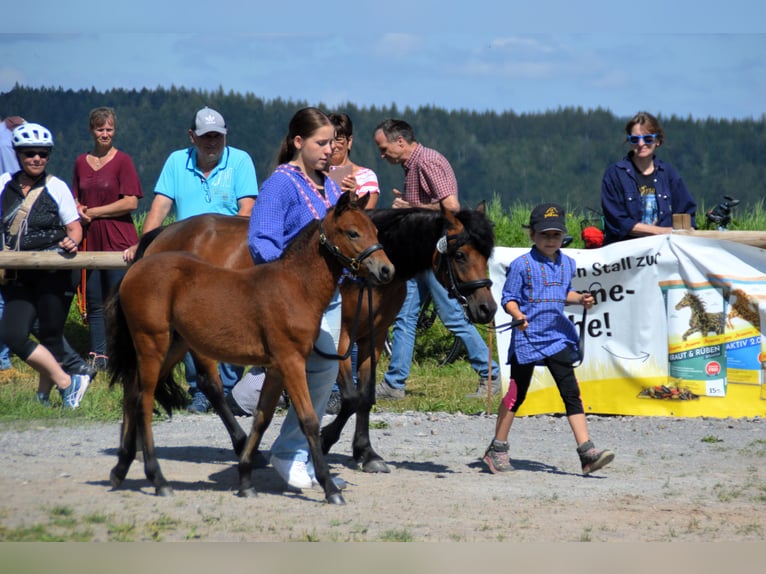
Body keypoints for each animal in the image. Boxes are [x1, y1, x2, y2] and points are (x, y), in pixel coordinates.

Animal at [105, 192, 392, 504]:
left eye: (376, 231)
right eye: (352, 233)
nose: (386, 270)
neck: (294, 287)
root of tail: (135, 270)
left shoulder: (276, 368)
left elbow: (262, 419)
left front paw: (245, 479)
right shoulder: (291, 362)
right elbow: (308, 420)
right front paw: (330, 487)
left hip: (173, 346)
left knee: (132, 393)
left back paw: (121, 467)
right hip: (152, 343)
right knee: (144, 402)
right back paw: (157, 478)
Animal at [135, 205, 498, 474]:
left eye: (487, 255)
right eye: (461, 254)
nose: (487, 308)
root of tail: (163, 234)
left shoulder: (374, 337)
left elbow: (366, 397)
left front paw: (366, 453)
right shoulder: (341, 339)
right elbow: (350, 398)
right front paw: (325, 440)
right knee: (209, 385)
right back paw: (240, 445)